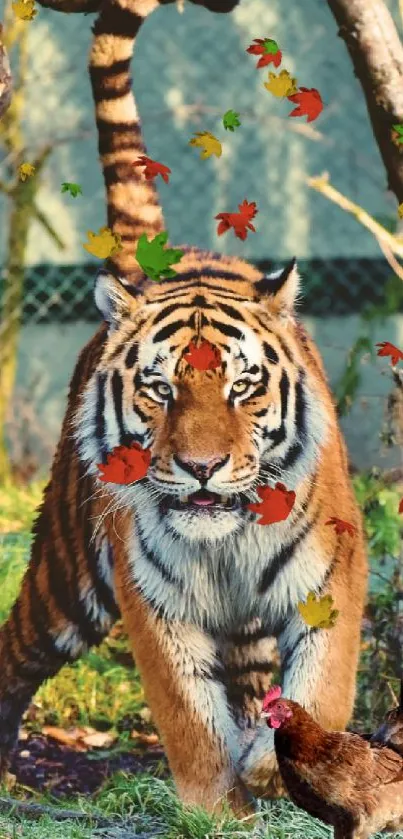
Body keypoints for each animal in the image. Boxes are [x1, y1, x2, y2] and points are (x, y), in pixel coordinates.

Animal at [0, 0, 370, 820]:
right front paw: (213, 810)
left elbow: (320, 690)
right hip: (66, 577)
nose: (201, 467)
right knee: (15, 653)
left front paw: (278, 770)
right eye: (160, 389)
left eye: (242, 387)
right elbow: (191, 722)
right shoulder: (155, 604)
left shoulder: (331, 577)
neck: (225, 542)